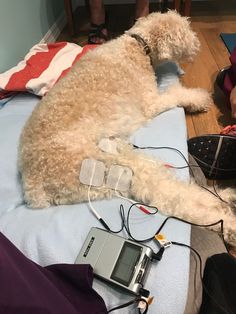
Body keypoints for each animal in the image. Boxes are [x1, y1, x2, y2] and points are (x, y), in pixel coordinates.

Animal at [19, 11, 235, 249]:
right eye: (185, 31)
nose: (197, 44)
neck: (138, 45)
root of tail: (33, 185)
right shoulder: (151, 102)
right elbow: (177, 94)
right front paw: (199, 99)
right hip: (114, 168)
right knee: (174, 198)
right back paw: (227, 220)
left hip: (119, 159)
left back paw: (225, 197)